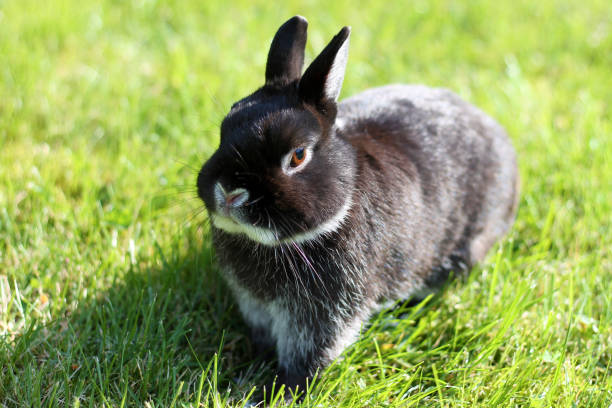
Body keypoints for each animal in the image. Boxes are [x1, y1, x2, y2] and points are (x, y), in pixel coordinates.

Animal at [196, 16, 516, 398]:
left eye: (298, 156)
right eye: (224, 129)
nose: (229, 193)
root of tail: (499, 135)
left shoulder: (323, 315)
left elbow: (308, 357)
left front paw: (281, 391)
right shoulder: (256, 304)